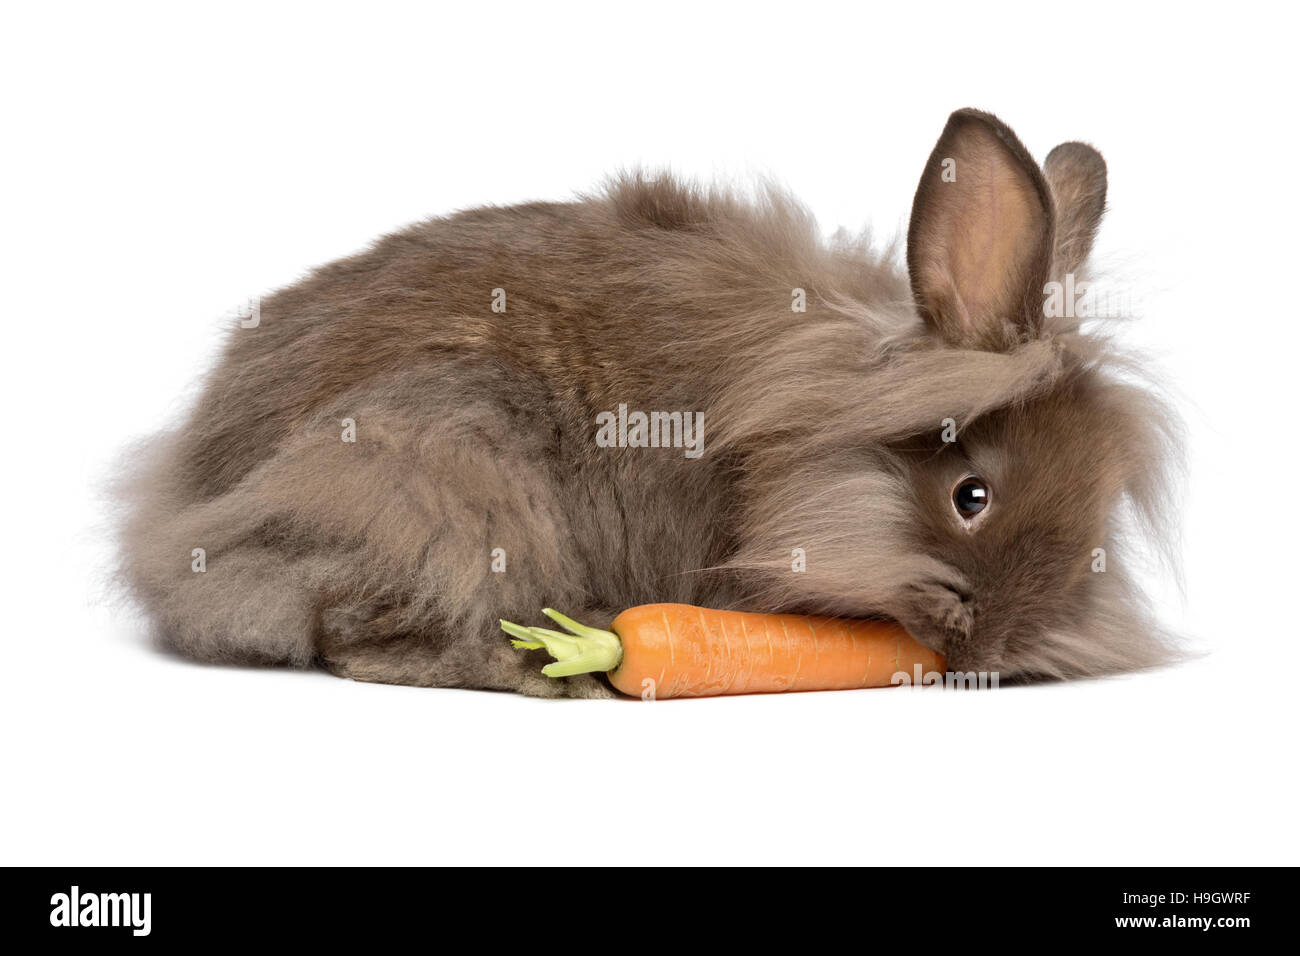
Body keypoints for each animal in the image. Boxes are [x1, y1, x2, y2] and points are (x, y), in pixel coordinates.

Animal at [116, 110, 1185, 697]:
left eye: (1100, 515)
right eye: (970, 496)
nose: (1003, 644)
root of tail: (182, 510)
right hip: (436, 462)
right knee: (356, 632)